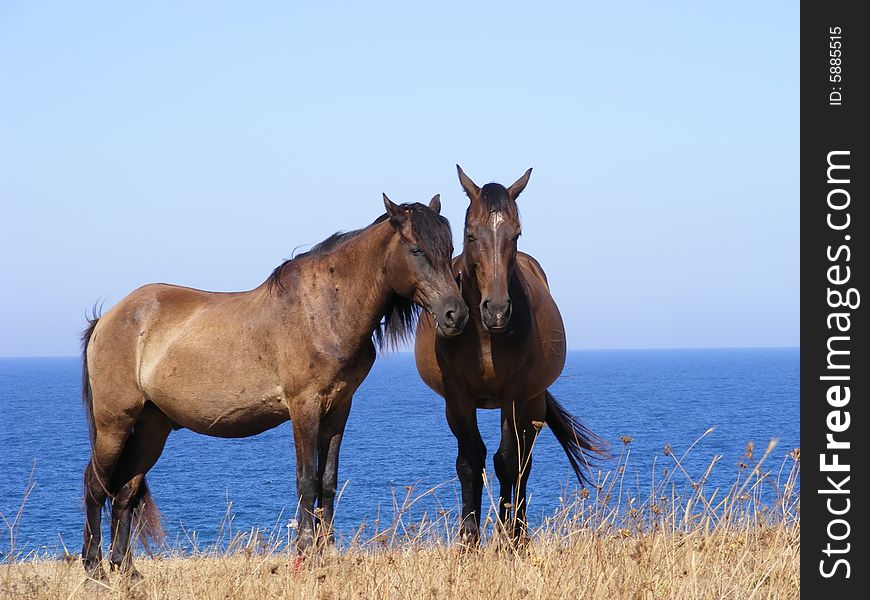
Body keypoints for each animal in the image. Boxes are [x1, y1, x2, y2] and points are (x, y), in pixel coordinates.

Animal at [81, 196, 470, 576]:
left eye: (450, 247)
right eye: (416, 249)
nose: (456, 314)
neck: (325, 311)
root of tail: (108, 318)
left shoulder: (338, 410)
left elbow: (328, 481)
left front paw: (327, 552)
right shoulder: (304, 408)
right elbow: (307, 480)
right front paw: (304, 553)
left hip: (152, 426)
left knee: (126, 489)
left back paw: (125, 567)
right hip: (114, 424)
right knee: (95, 485)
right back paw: (94, 567)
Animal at [416, 168, 608, 544]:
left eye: (515, 234)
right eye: (470, 234)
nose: (497, 310)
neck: (483, 334)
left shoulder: (515, 394)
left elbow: (508, 461)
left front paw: (510, 538)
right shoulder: (457, 396)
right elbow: (469, 461)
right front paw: (468, 539)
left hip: (533, 403)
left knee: (523, 462)